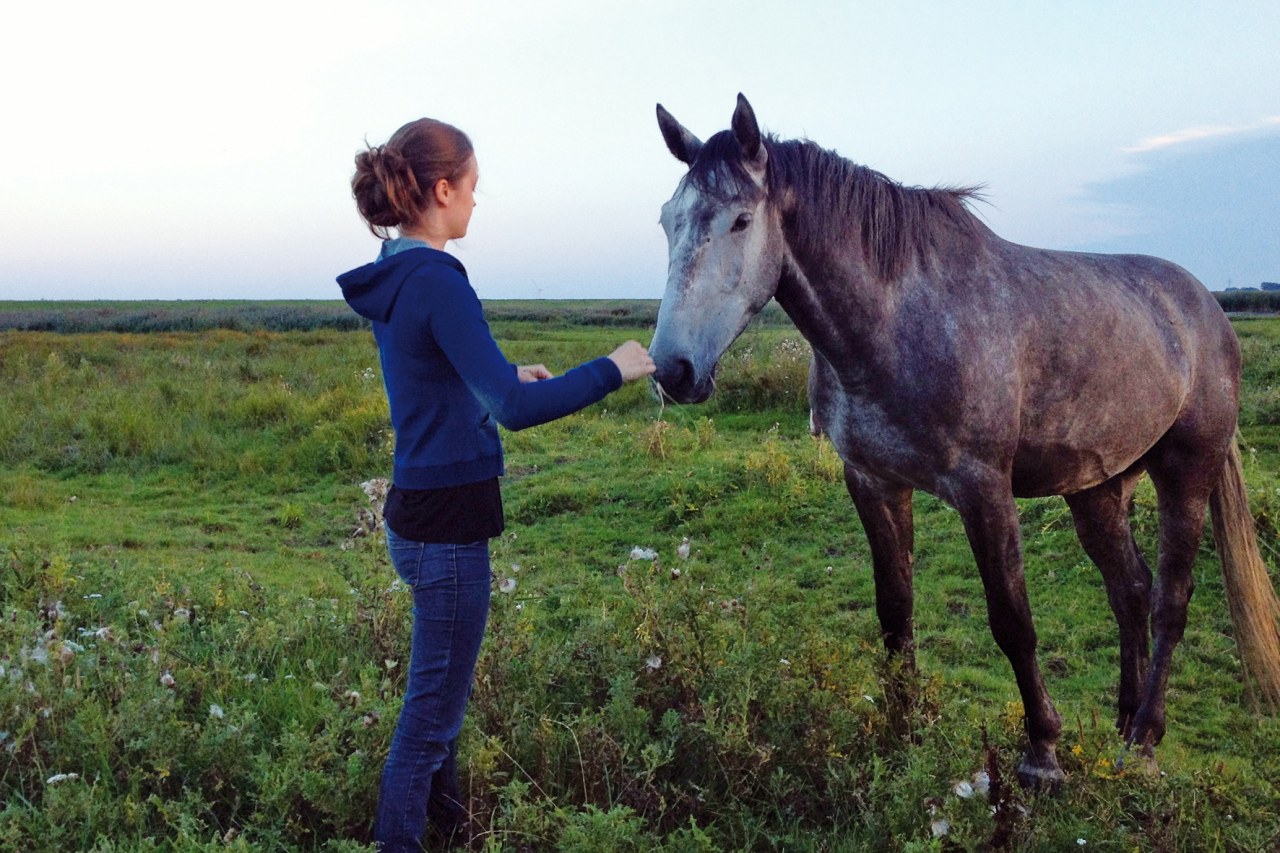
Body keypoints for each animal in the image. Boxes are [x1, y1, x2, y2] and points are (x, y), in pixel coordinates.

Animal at [650, 91, 1280, 783]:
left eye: (740, 221)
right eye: (667, 222)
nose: (672, 370)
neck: (894, 322)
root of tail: (1205, 308)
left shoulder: (983, 489)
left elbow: (1012, 620)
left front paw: (1041, 752)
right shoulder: (873, 483)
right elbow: (894, 611)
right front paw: (900, 732)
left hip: (1186, 471)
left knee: (1171, 597)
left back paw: (1144, 736)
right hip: (1099, 486)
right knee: (1130, 589)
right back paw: (1123, 718)